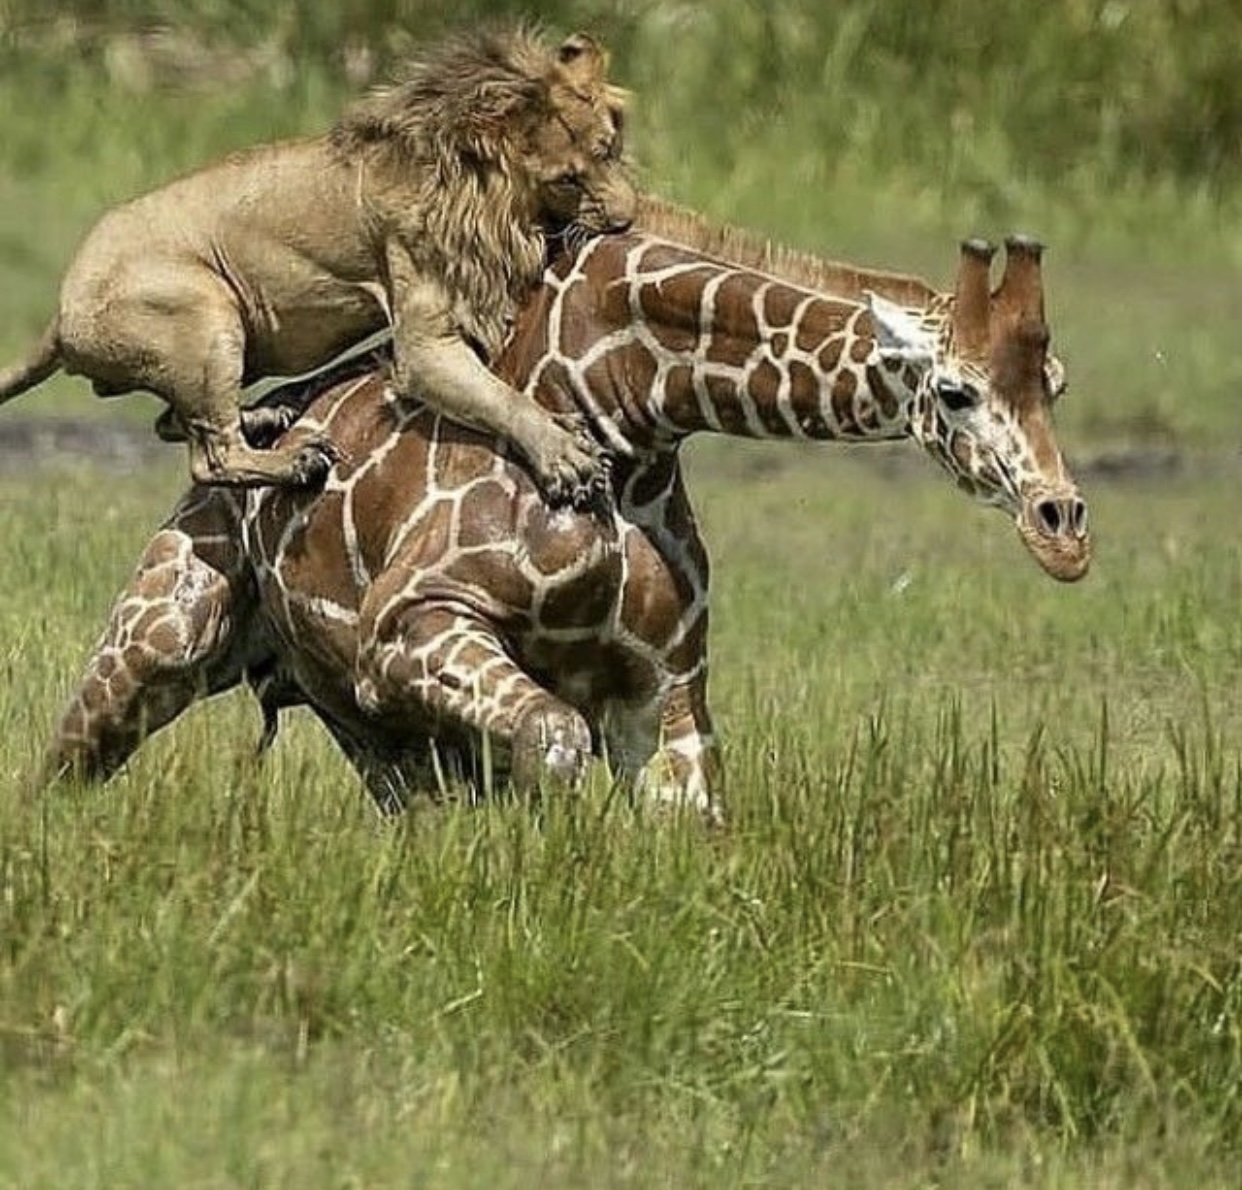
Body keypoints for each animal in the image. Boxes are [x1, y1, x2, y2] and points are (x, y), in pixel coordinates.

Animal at [0, 24, 635, 499]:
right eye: (566, 179)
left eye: (608, 148)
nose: (628, 219)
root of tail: (59, 316)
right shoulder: (424, 346)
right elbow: (499, 397)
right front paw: (565, 455)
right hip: (207, 312)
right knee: (209, 456)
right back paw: (297, 462)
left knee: (175, 422)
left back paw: (264, 418)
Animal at [41, 207, 1087, 819]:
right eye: (954, 391)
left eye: (1057, 385)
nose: (1062, 528)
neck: (631, 420)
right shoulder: (412, 625)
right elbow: (550, 749)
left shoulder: (665, 689)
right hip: (165, 633)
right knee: (60, 768)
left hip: (354, 721)